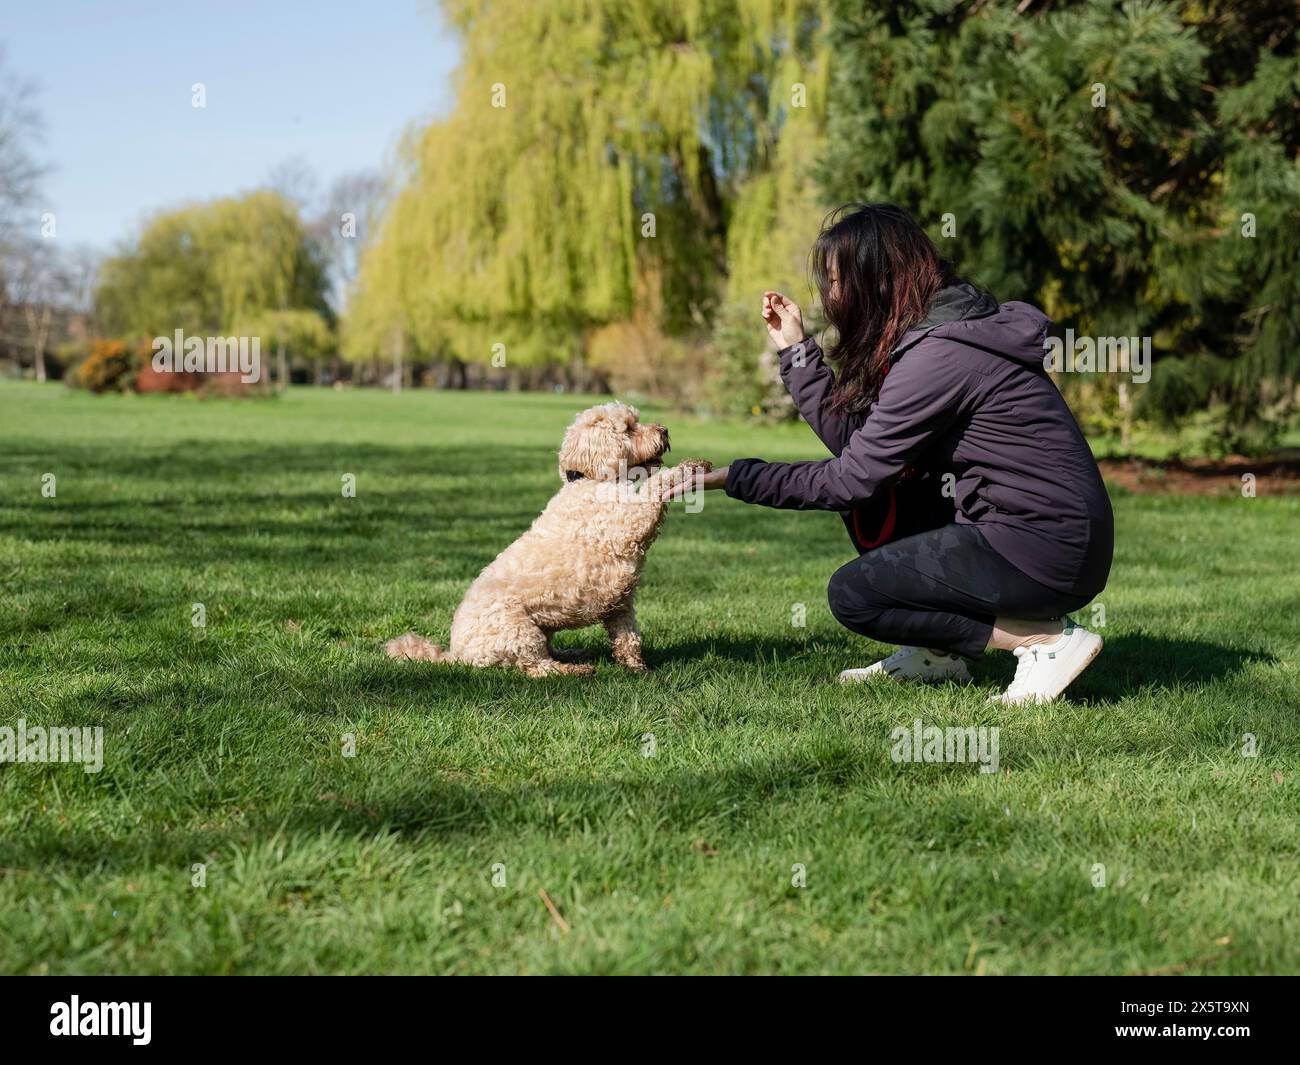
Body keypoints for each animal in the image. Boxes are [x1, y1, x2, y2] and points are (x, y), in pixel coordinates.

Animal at [384, 403, 712, 681]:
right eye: (629, 428)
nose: (665, 430)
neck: (589, 480)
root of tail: (456, 655)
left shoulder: (621, 603)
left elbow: (628, 637)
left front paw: (637, 669)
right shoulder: (626, 522)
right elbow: (655, 486)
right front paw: (687, 468)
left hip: (541, 628)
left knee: (548, 653)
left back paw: (575, 653)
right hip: (519, 632)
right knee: (538, 667)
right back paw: (574, 670)